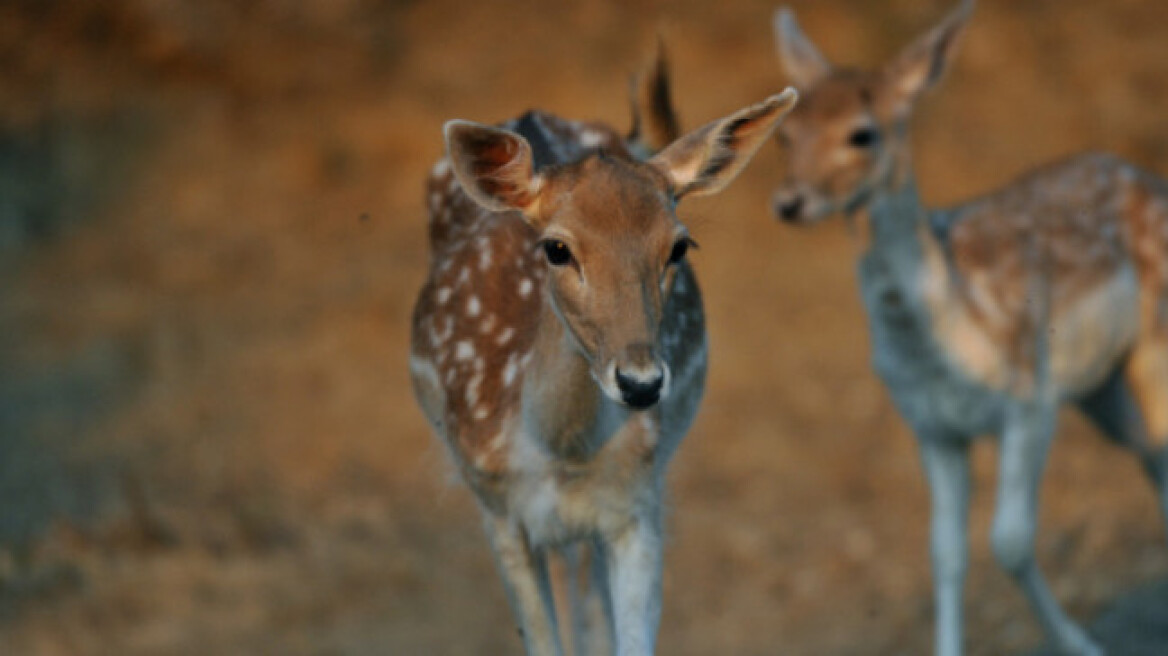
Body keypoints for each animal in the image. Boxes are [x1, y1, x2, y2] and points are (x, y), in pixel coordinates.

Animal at [406, 47, 798, 653]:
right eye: (556, 248)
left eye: (679, 246)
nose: (640, 383)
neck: (560, 454)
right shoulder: (499, 508)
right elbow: (542, 639)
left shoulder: (636, 502)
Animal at [766, 1, 1168, 653]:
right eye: (785, 132)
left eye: (863, 132)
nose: (789, 201)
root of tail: (1145, 175)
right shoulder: (930, 425)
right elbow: (944, 552)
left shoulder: (1029, 398)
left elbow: (1008, 541)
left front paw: (1083, 644)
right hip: (1101, 386)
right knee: (1149, 452)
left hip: (1153, 342)